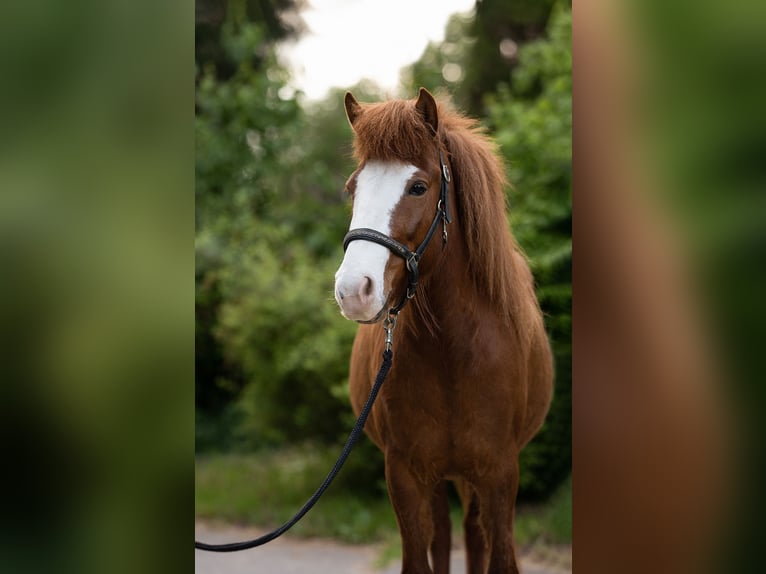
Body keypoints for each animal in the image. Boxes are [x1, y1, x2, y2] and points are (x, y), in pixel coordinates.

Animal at [332, 86, 556, 574]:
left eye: (418, 187)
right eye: (353, 188)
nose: (354, 290)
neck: (452, 354)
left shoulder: (498, 474)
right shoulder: (405, 474)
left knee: (471, 534)